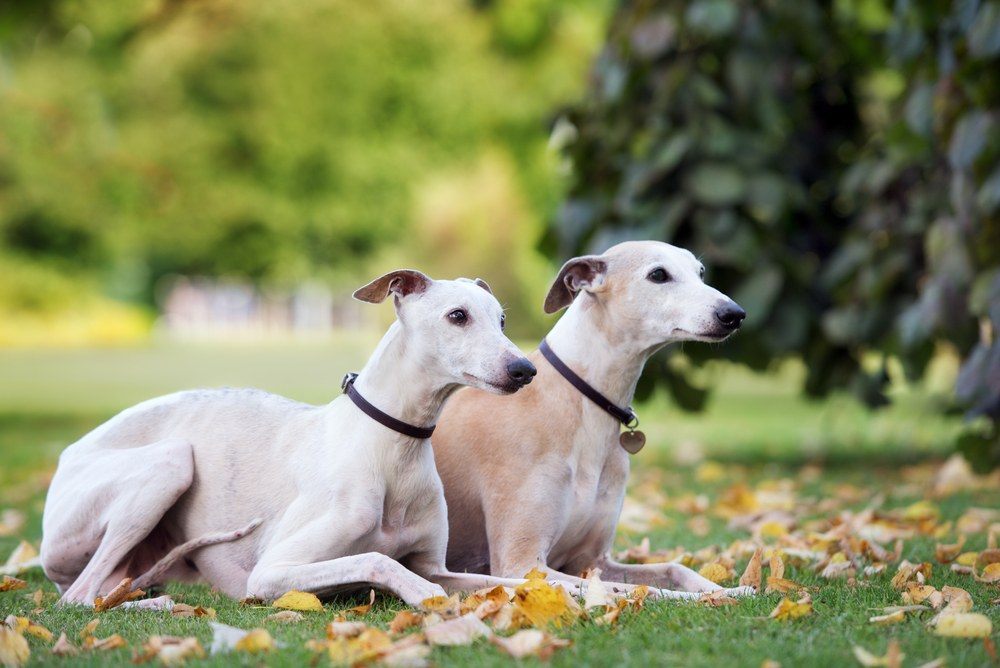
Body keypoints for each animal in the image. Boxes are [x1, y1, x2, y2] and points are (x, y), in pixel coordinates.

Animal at [43, 270, 552, 604]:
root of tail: (67, 454)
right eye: (457, 315)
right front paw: (423, 593)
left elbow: (519, 582)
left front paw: (573, 589)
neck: (392, 445)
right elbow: (376, 559)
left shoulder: (439, 565)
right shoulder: (274, 571)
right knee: (81, 597)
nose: (525, 370)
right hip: (169, 462)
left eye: (502, 320)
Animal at [432, 243, 752, 596]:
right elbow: (637, 591)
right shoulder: (524, 564)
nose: (734, 314)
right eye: (658, 274)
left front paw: (727, 590)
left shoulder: (590, 560)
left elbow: (674, 567)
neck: (581, 403)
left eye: (701, 272)